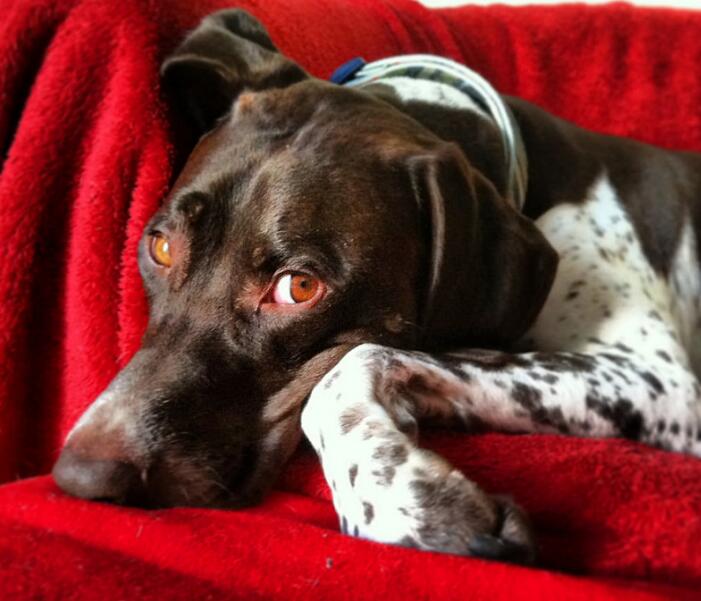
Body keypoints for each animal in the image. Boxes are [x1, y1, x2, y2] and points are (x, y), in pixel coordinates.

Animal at [52, 9, 701, 564]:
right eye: (161, 247)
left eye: (299, 287)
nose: (82, 478)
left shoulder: (659, 381)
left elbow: (343, 369)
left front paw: (404, 503)